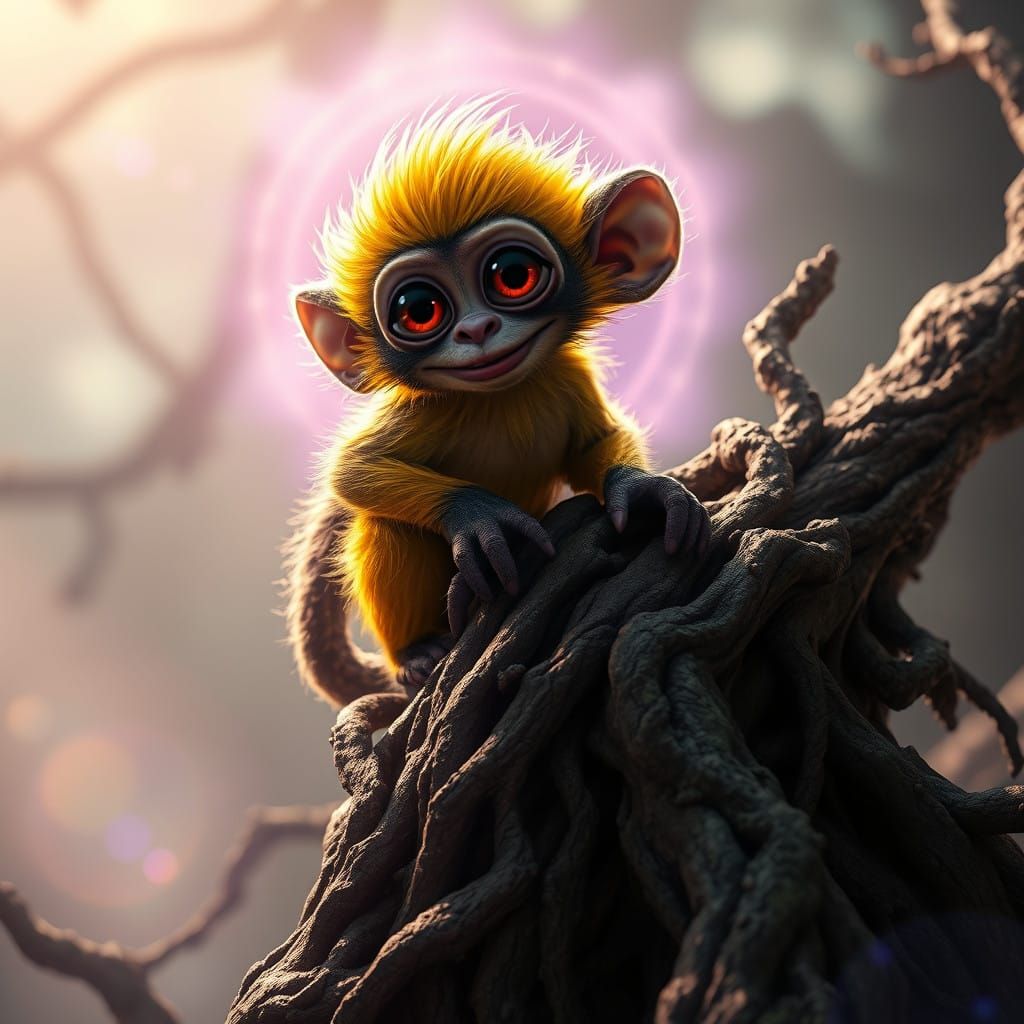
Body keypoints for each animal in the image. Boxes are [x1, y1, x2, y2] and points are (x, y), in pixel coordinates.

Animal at [288, 101, 711, 704]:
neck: (503, 397)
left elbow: (596, 445)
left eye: (512, 276)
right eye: (419, 310)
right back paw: (418, 653)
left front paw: (641, 488)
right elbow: (353, 470)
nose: (476, 329)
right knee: (389, 524)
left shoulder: (568, 377)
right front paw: (480, 520)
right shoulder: (426, 407)